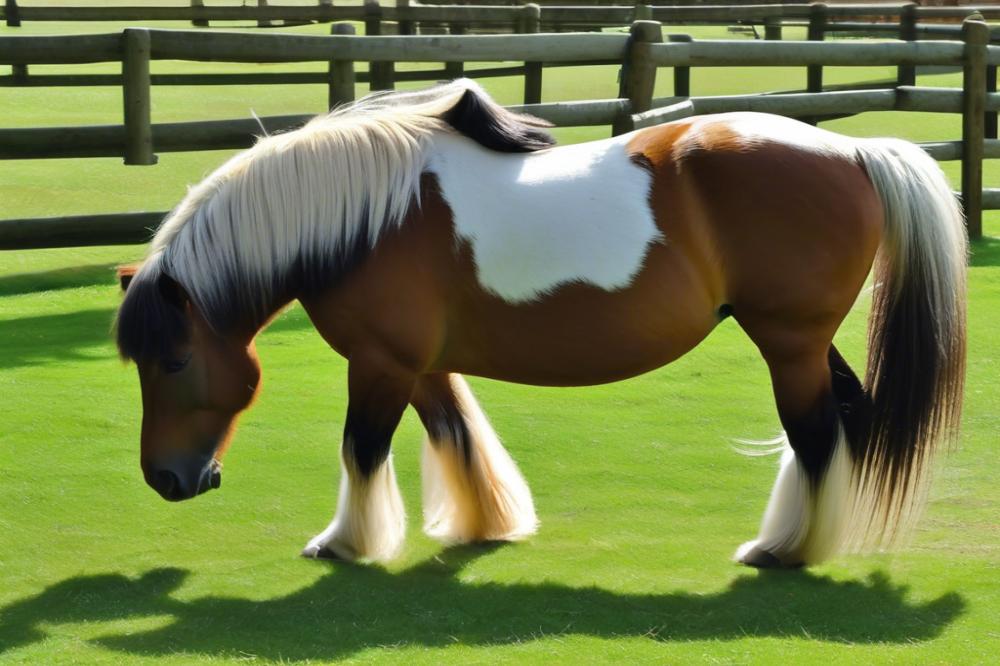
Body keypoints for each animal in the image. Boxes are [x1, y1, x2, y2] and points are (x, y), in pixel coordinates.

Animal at [117, 78, 968, 564]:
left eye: (172, 361)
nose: (166, 480)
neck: (365, 215)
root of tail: (853, 150)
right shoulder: (421, 365)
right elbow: (457, 434)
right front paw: (484, 524)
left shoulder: (380, 364)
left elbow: (362, 449)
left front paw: (346, 543)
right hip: (804, 344)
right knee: (841, 423)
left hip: (787, 344)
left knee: (818, 436)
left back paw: (785, 547)